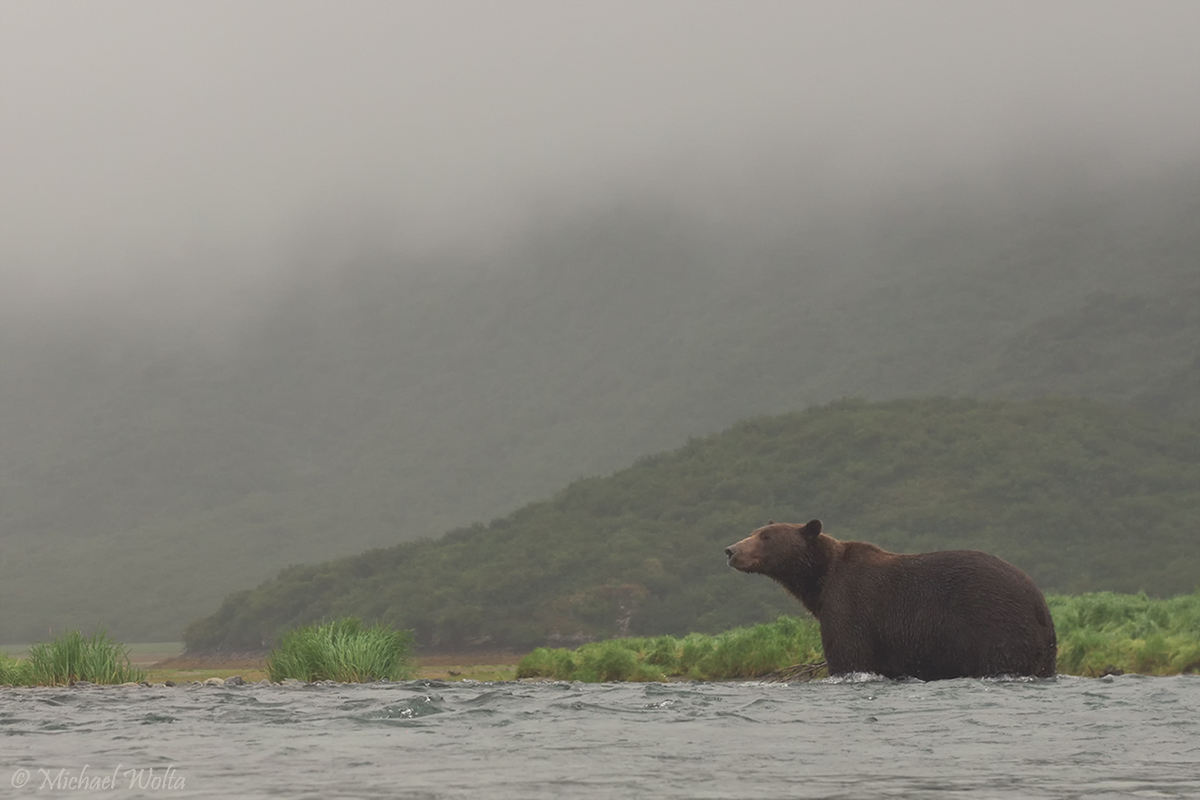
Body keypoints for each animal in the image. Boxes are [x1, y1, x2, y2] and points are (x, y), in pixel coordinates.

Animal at [724, 520, 1056, 681]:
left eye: (766, 537)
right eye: (754, 531)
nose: (731, 550)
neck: (818, 581)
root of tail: (1038, 601)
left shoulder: (849, 604)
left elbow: (848, 655)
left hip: (996, 627)